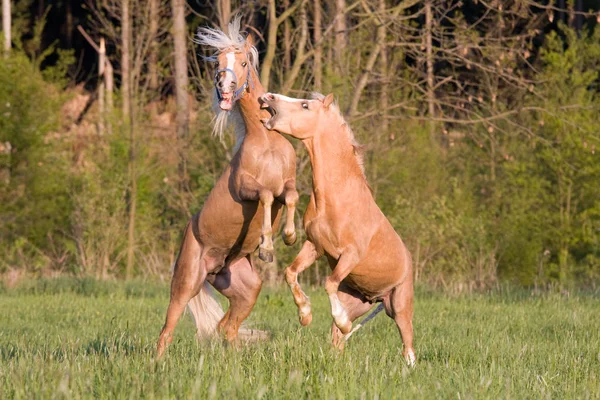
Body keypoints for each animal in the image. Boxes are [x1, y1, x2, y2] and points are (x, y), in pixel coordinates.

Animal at [156, 18, 298, 356]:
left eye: (243, 62)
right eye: (218, 63)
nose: (225, 87)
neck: (265, 141)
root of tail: (213, 268)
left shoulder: (289, 182)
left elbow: (290, 195)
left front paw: (288, 236)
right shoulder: (246, 189)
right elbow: (266, 195)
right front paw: (267, 248)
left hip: (246, 288)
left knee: (226, 328)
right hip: (186, 283)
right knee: (166, 331)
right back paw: (157, 364)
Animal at [258, 91, 418, 366]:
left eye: (304, 105)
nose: (268, 96)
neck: (337, 199)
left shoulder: (350, 254)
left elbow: (329, 282)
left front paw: (338, 319)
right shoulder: (315, 246)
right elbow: (291, 273)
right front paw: (305, 315)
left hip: (399, 306)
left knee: (408, 348)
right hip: (358, 302)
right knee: (338, 341)